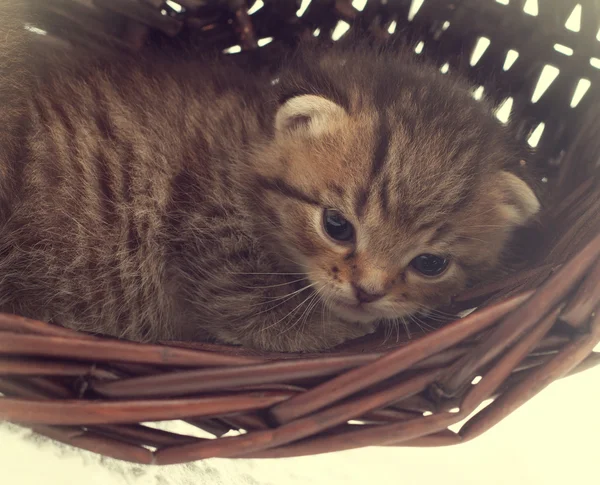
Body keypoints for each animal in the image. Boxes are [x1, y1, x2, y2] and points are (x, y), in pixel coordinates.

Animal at [0, 8, 540, 352]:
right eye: (337, 226)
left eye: (430, 263)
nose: (368, 291)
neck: (246, 145)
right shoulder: (212, 246)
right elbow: (265, 318)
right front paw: (345, 329)